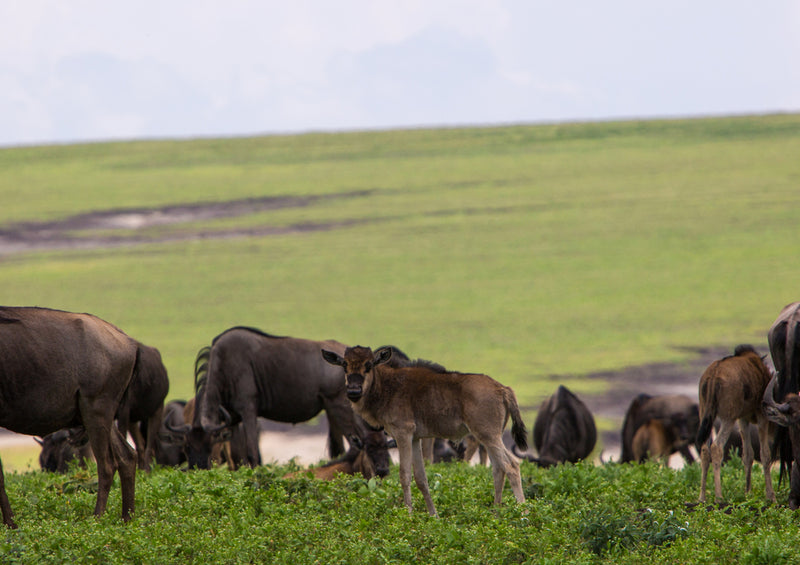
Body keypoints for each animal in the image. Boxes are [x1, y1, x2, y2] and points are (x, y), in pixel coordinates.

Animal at [322, 344, 528, 516]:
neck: (387, 387)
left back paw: (523, 512)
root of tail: (503, 389)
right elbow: (421, 478)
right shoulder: (415, 439)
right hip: (489, 437)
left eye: (369, 364)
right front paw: (433, 515)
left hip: (488, 435)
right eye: (344, 365)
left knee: (511, 466)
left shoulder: (403, 435)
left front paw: (408, 514)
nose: (353, 391)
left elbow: (404, 475)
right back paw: (496, 513)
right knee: (498, 469)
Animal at [692, 346, 776, 504]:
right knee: (716, 446)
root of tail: (713, 376)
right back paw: (719, 496)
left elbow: (748, 454)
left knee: (705, 449)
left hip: (705, 414)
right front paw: (770, 496)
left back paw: (702, 497)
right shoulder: (762, 415)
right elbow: (765, 454)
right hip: (727, 418)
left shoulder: (742, 418)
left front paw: (747, 493)